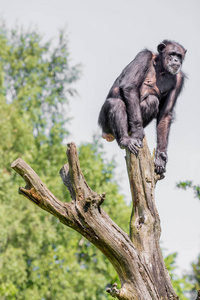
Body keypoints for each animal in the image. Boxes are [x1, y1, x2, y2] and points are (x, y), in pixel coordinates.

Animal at [98, 41, 186, 175]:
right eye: (172, 54)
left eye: (179, 55)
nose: (176, 60)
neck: (161, 68)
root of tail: (108, 135)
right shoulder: (143, 57)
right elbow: (130, 86)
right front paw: (138, 131)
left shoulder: (179, 79)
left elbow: (165, 114)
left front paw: (161, 156)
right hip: (104, 124)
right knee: (116, 103)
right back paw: (126, 140)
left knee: (152, 101)